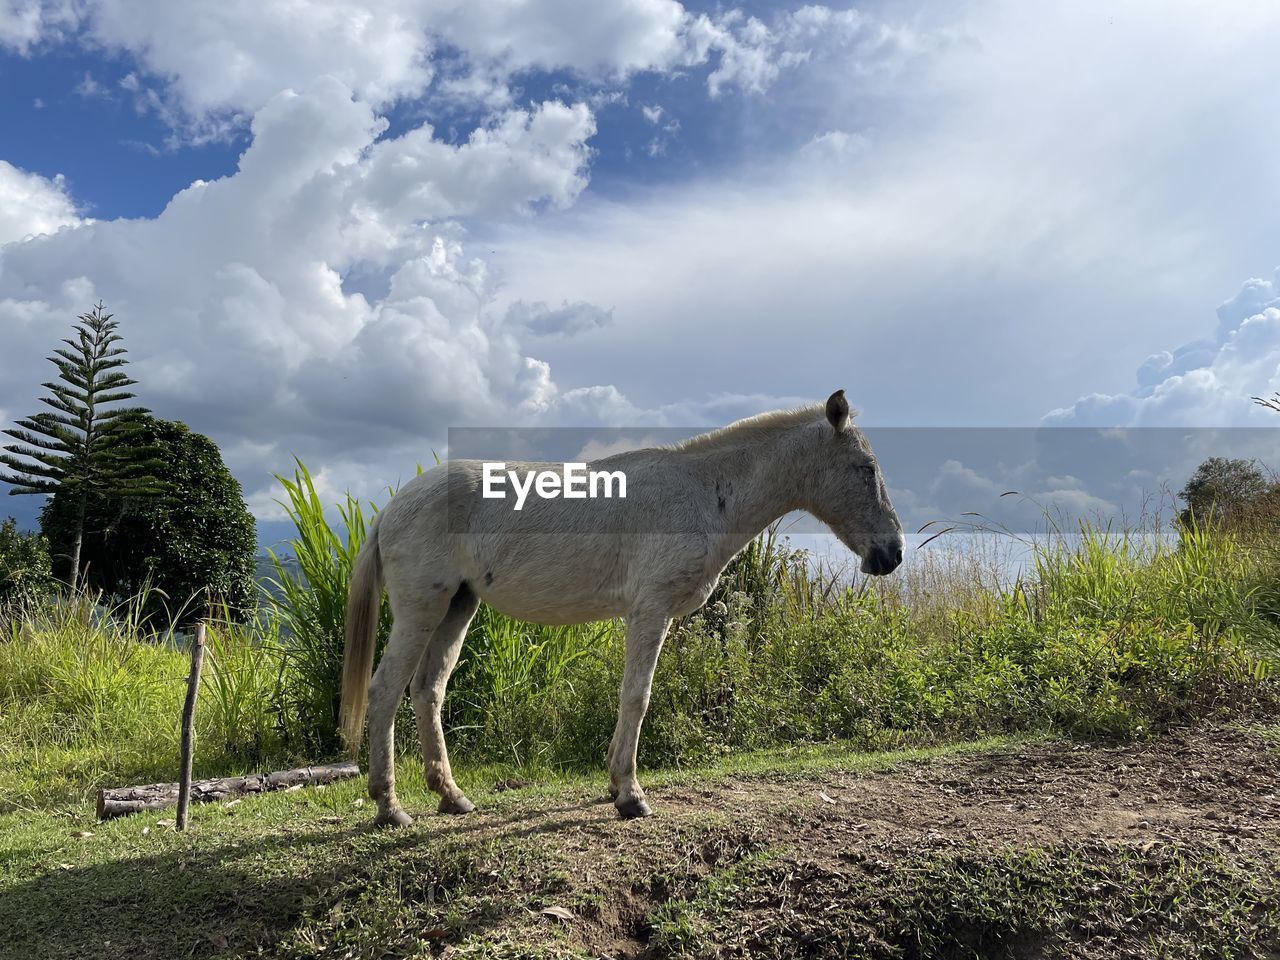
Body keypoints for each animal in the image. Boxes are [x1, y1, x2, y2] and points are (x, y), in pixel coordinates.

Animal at [340, 390, 905, 826]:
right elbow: (637, 696)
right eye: (867, 468)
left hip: (458, 606)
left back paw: (451, 796)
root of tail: (393, 505)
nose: (893, 553)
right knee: (385, 690)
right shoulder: (649, 611)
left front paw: (615, 787)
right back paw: (389, 807)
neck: (705, 492)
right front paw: (630, 795)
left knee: (427, 690)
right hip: (421, 609)